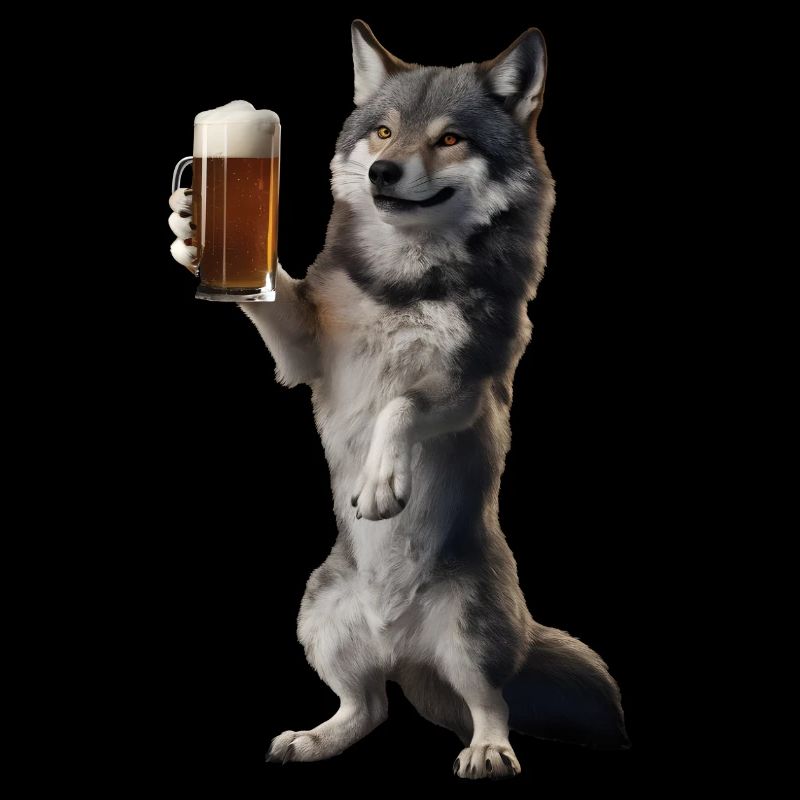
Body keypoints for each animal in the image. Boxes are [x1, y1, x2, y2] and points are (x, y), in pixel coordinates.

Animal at [169, 21, 627, 779]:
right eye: (383, 132)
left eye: (450, 139)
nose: (384, 172)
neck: (405, 283)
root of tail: (402, 644)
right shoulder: (308, 356)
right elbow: (276, 296)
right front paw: (190, 232)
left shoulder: (472, 389)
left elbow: (400, 404)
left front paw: (383, 484)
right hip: (319, 609)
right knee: (369, 707)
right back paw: (314, 738)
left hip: (471, 631)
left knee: (490, 702)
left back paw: (489, 751)